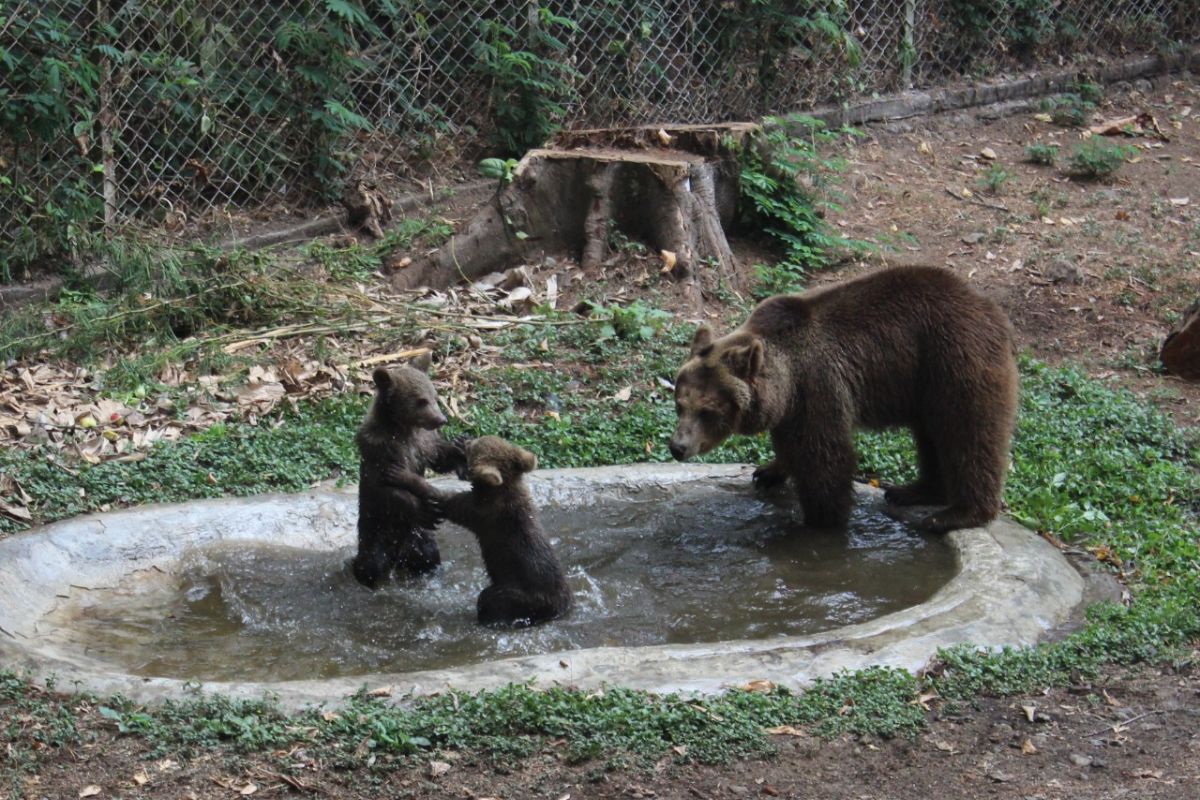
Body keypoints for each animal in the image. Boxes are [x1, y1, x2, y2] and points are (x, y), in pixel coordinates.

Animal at [350, 352, 465, 592]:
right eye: (421, 400)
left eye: (434, 396)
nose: (442, 419)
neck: (402, 429)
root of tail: (397, 555)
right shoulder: (379, 450)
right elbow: (387, 488)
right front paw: (426, 509)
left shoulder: (423, 443)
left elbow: (438, 457)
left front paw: (459, 447)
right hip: (376, 533)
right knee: (370, 563)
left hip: (418, 537)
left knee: (428, 555)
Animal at [386, 438, 568, 623]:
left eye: (474, 446)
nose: (467, 440)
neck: (501, 490)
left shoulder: (481, 512)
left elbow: (443, 498)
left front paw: (400, 474)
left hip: (523, 593)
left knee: (490, 598)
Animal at [672, 266, 1017, 534]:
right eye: (679, 404)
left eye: (707, 410)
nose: (678, 447)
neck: (786, 377)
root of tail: (989, 307)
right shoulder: (790, 405)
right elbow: (789, 443)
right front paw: (768, 471)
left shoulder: (817, 385)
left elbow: (825, 457)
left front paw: (820, 521)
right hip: (926, 383)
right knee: (932, 435)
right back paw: (912, 491)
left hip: (954, 359)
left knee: (969, 434)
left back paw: (955, 514)